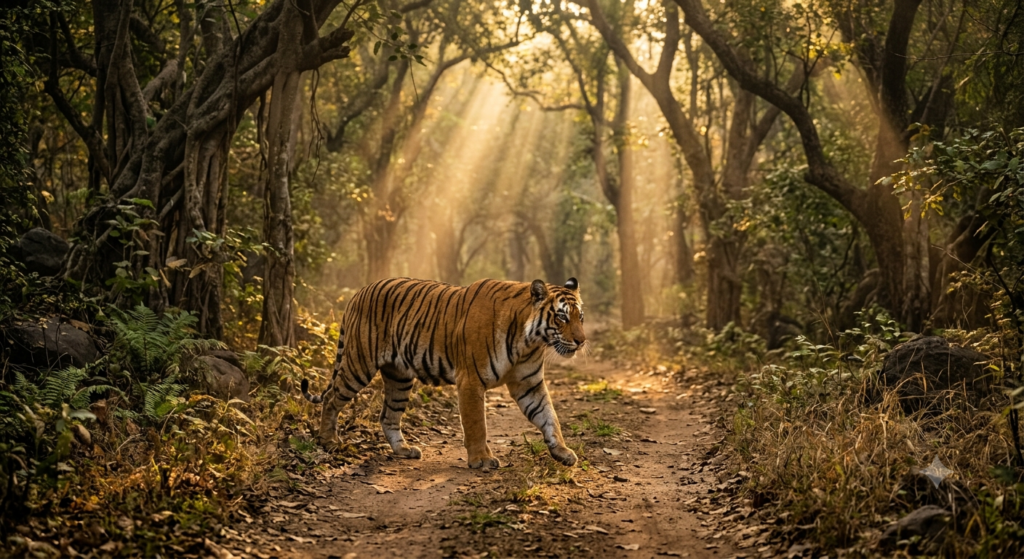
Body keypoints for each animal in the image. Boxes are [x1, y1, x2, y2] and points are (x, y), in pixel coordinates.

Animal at [301, 276, 586, 468]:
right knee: (331, 398)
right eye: (562, 317)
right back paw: (328, 441)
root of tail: (359, 291)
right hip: (359, 363)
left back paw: (404, 450)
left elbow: (549, 417)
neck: (529, 342)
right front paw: (482, 460)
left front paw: (562, 452)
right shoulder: (470, 380)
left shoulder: (529, 384)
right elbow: (476, 424)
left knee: (388, 416)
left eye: (580, 317)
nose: (582, 341)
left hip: (399, 378)